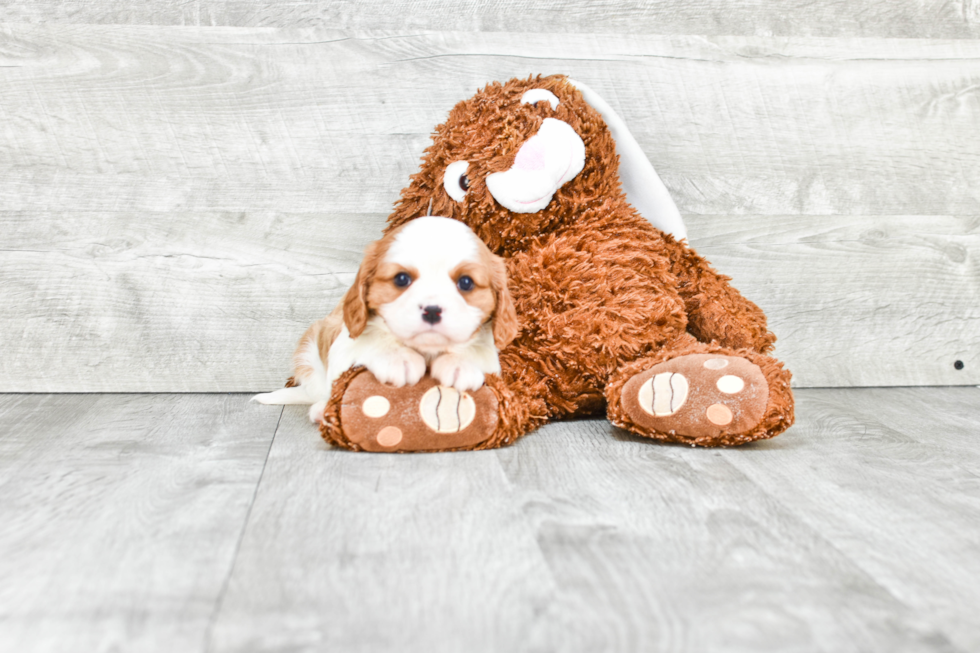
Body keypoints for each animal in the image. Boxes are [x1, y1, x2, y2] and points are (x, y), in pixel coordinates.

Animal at [253, 215, 516, 422]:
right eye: (401, 279)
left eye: (466, 282)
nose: (432, 310)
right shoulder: (343, 343)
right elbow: (373, 338)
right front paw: (397, 357)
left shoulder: (492, 360)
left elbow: (477, 350)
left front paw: (461, 363)